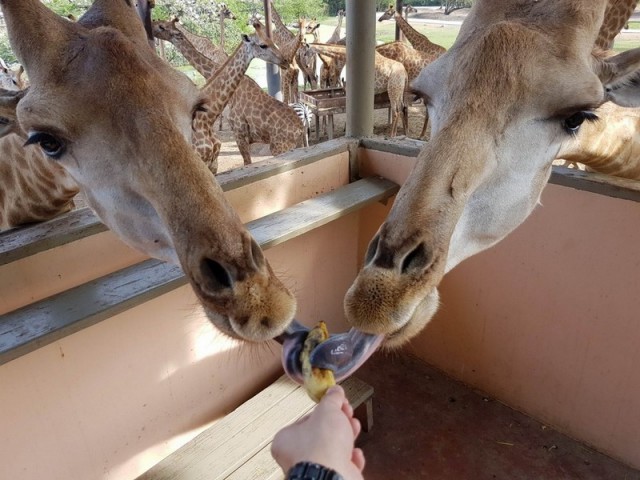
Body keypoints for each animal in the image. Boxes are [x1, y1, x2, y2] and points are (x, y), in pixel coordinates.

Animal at [154, 17, 304, 165]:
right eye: (264, 45)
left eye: (164, 26)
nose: (285, 61)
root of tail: (300, 129)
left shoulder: (239, 134)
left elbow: (247, 163)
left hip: (280, 148)